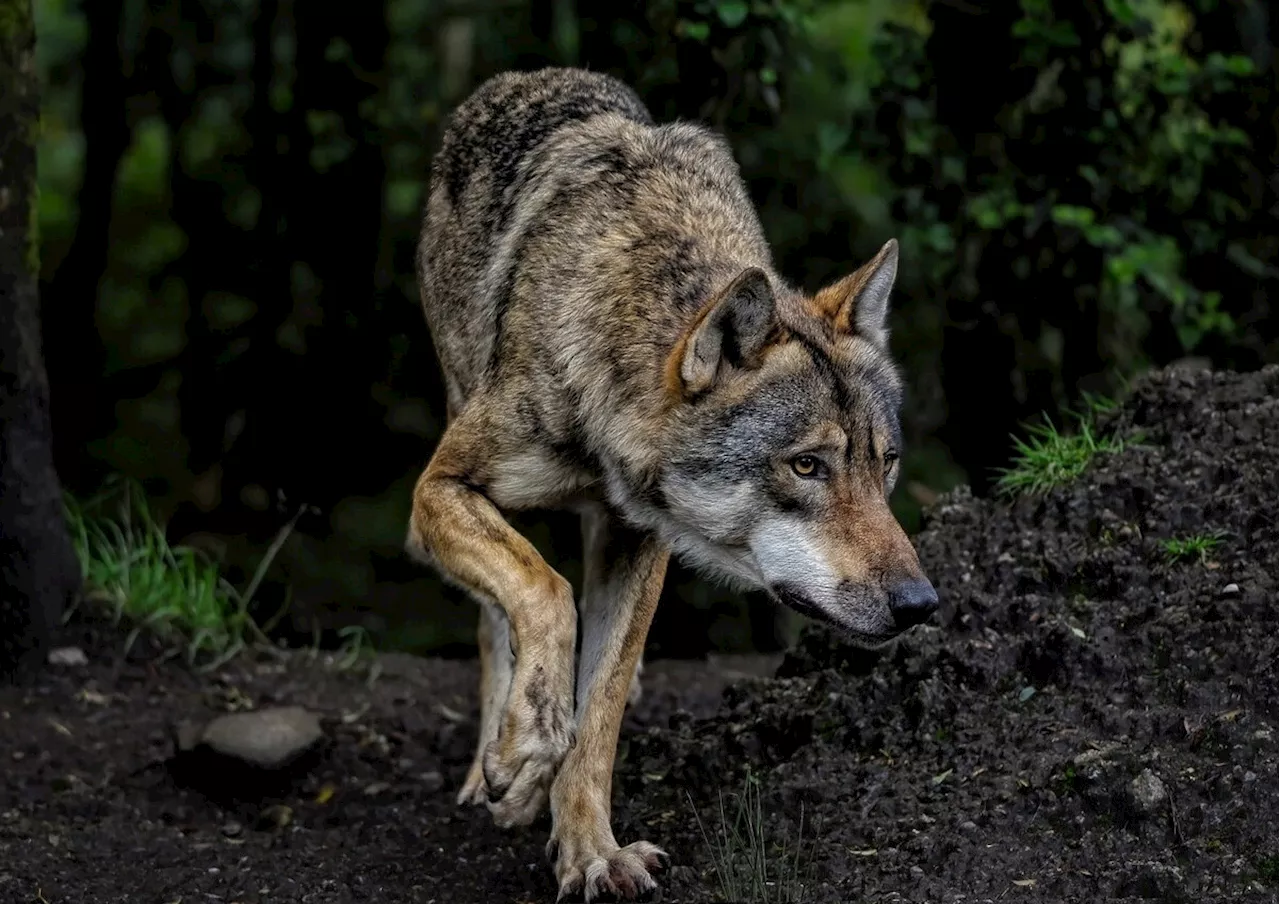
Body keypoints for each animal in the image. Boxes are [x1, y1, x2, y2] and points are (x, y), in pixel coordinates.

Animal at [409, 66, 942, 896]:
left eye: (882, 462)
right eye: (806, 465)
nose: (921, 605)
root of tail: (522, 78)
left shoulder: (639, 541)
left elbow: (600, 708)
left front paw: (591, 852)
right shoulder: (438, 490)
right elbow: (544, 592)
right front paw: (525, 750)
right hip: (459, 416)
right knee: (496, 615)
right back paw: (495, 763)